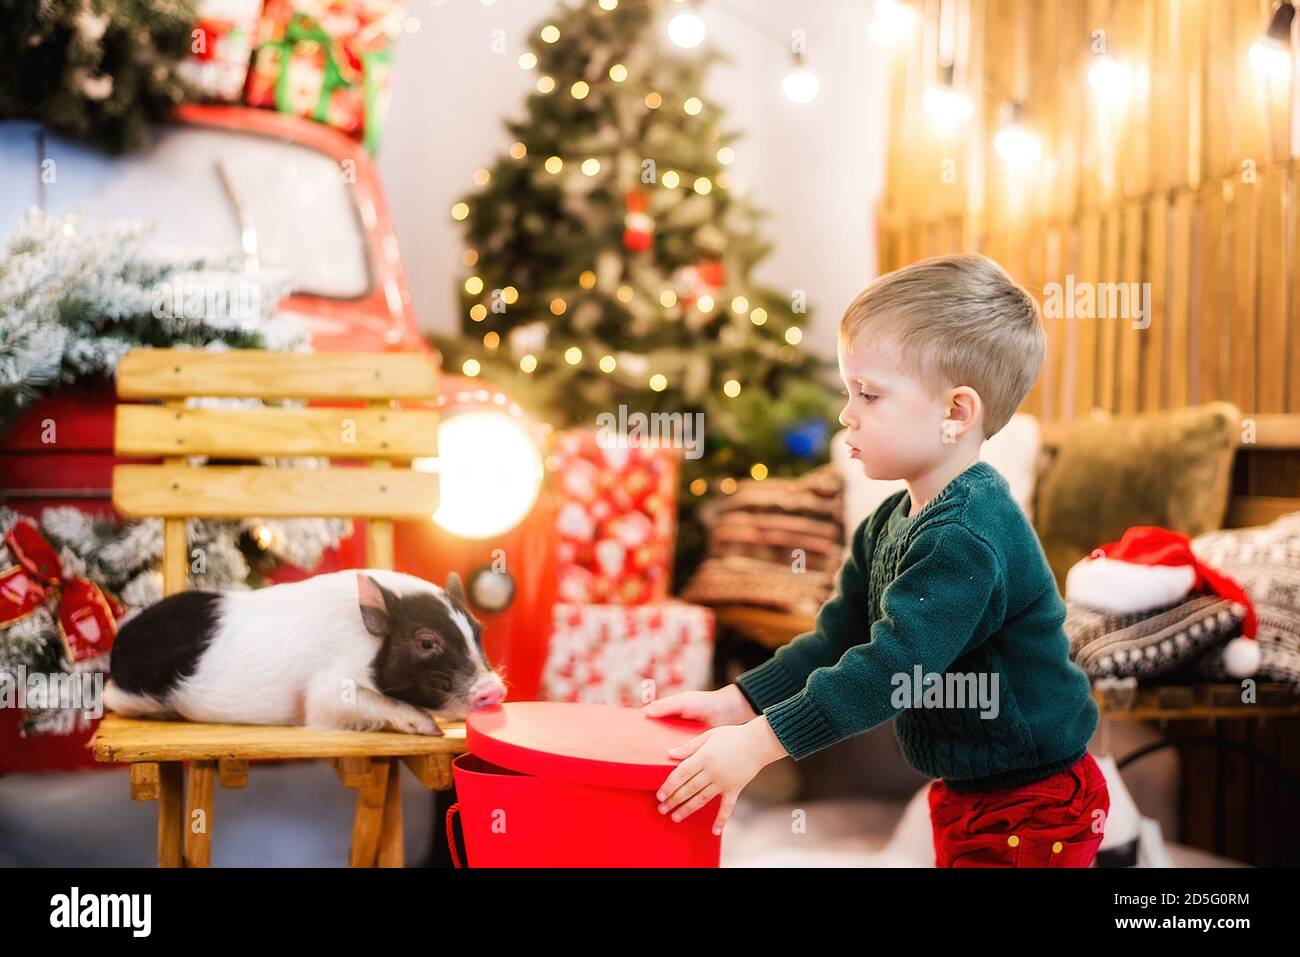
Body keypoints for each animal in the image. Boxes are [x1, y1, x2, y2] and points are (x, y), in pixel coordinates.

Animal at [102, 566, 506, 733]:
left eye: (478, 631)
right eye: (426, 642)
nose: (493, 689)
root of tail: (122, 636)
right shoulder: (327, 693)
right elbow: (333, 705)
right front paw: (427, 728)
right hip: (129, 694)